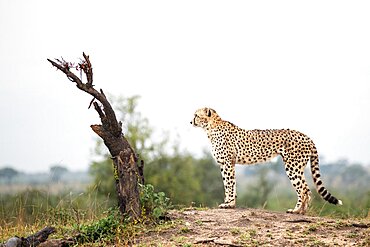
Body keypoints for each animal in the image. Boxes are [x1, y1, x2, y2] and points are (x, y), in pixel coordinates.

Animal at [191, 107, 344, 213]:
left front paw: (228, 204)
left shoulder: (227, 163)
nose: (190, 121)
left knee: (303, 189)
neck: (211, 126)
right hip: (297, 167)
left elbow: (229, 184)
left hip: (292, 166)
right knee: (307, 189)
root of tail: (306, 136)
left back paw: (295, 210)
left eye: (196, 115)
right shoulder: (226, 164)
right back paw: (302, 211)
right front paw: (230, 203)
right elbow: (230, 185)